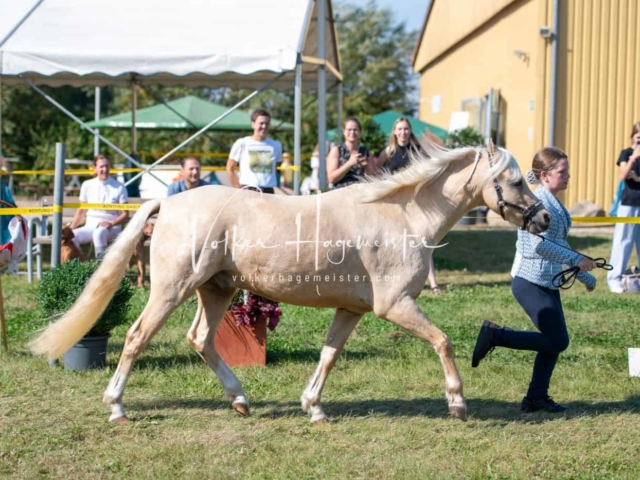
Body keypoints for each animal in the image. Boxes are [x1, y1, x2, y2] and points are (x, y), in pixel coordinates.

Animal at [30, 142, 552, 424]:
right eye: (515, 179)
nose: (544, 218)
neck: (400, 216)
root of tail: (170, 203)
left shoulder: (352, 310)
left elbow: (329, 355)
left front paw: (314, 407)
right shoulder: (396, 305)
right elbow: (443, 341)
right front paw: (458, 403)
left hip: (217, 289)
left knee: (201, 339)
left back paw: (240, 400)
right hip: (171, 290)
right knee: (137, 337)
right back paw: (117, 407)